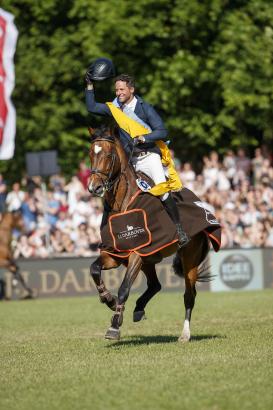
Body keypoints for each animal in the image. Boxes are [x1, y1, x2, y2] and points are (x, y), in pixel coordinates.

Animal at [87, 129, 217, 342]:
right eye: (91, 154)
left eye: (108, 155)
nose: (94, 188)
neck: (123, 204)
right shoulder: (116, 254)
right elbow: (94, 270)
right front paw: (108, 299)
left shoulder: (137, 254)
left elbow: (124, 288)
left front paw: (115, 325)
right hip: (149, 259)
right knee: (155, 285)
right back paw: (139, 308)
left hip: (188, 258)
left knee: (189, 295)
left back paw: (185, 334)